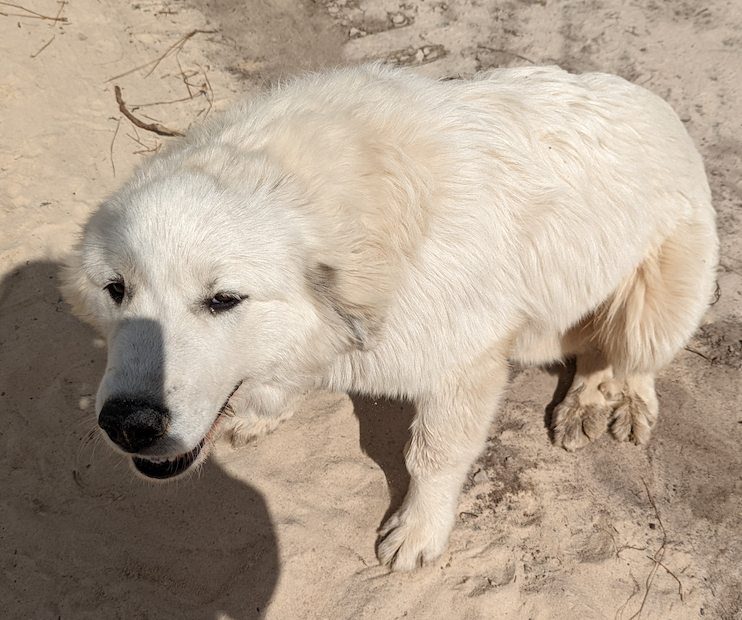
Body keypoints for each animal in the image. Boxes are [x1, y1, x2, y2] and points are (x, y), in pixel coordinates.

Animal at [65, 63, 720, 572]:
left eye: (223, 299)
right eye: (116, 290)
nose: (129, 425)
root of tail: (656, 102)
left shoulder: (464, 362)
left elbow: (433, 455)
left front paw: (419, 531)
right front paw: (262, 410)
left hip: (657, 301)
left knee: (627, 353)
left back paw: (602, 399)